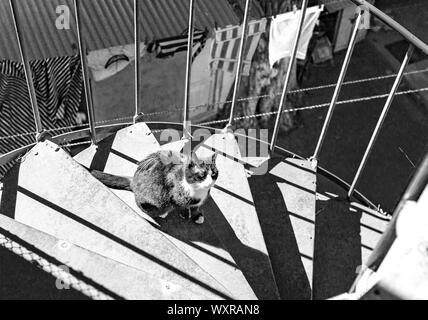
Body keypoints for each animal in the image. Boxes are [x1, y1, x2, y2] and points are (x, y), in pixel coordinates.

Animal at [89, 150, 219, 225]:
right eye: (202, 175)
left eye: (214, 174)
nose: (209, 183)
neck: (198, 191)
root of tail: (133, 180)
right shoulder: (175, 196)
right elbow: (181, 206)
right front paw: (185, 214)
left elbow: (196, 207)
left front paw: (197, 215)